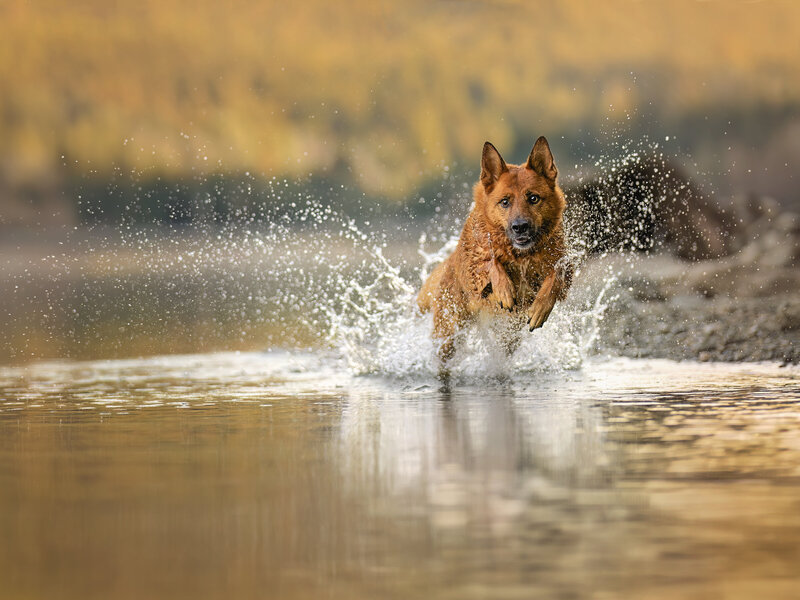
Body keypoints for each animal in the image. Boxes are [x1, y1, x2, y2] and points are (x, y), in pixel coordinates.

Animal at [416, 137, 572, 370]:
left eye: (533, 198)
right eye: (505, 202)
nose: (520, 227)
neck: (520, 255)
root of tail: (448, 263)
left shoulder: (564, 263)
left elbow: (555, 276)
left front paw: (540, 308)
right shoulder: (475, 266)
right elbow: (491, 261)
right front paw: (504, 290)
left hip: (506, 337)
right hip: (449, 334)